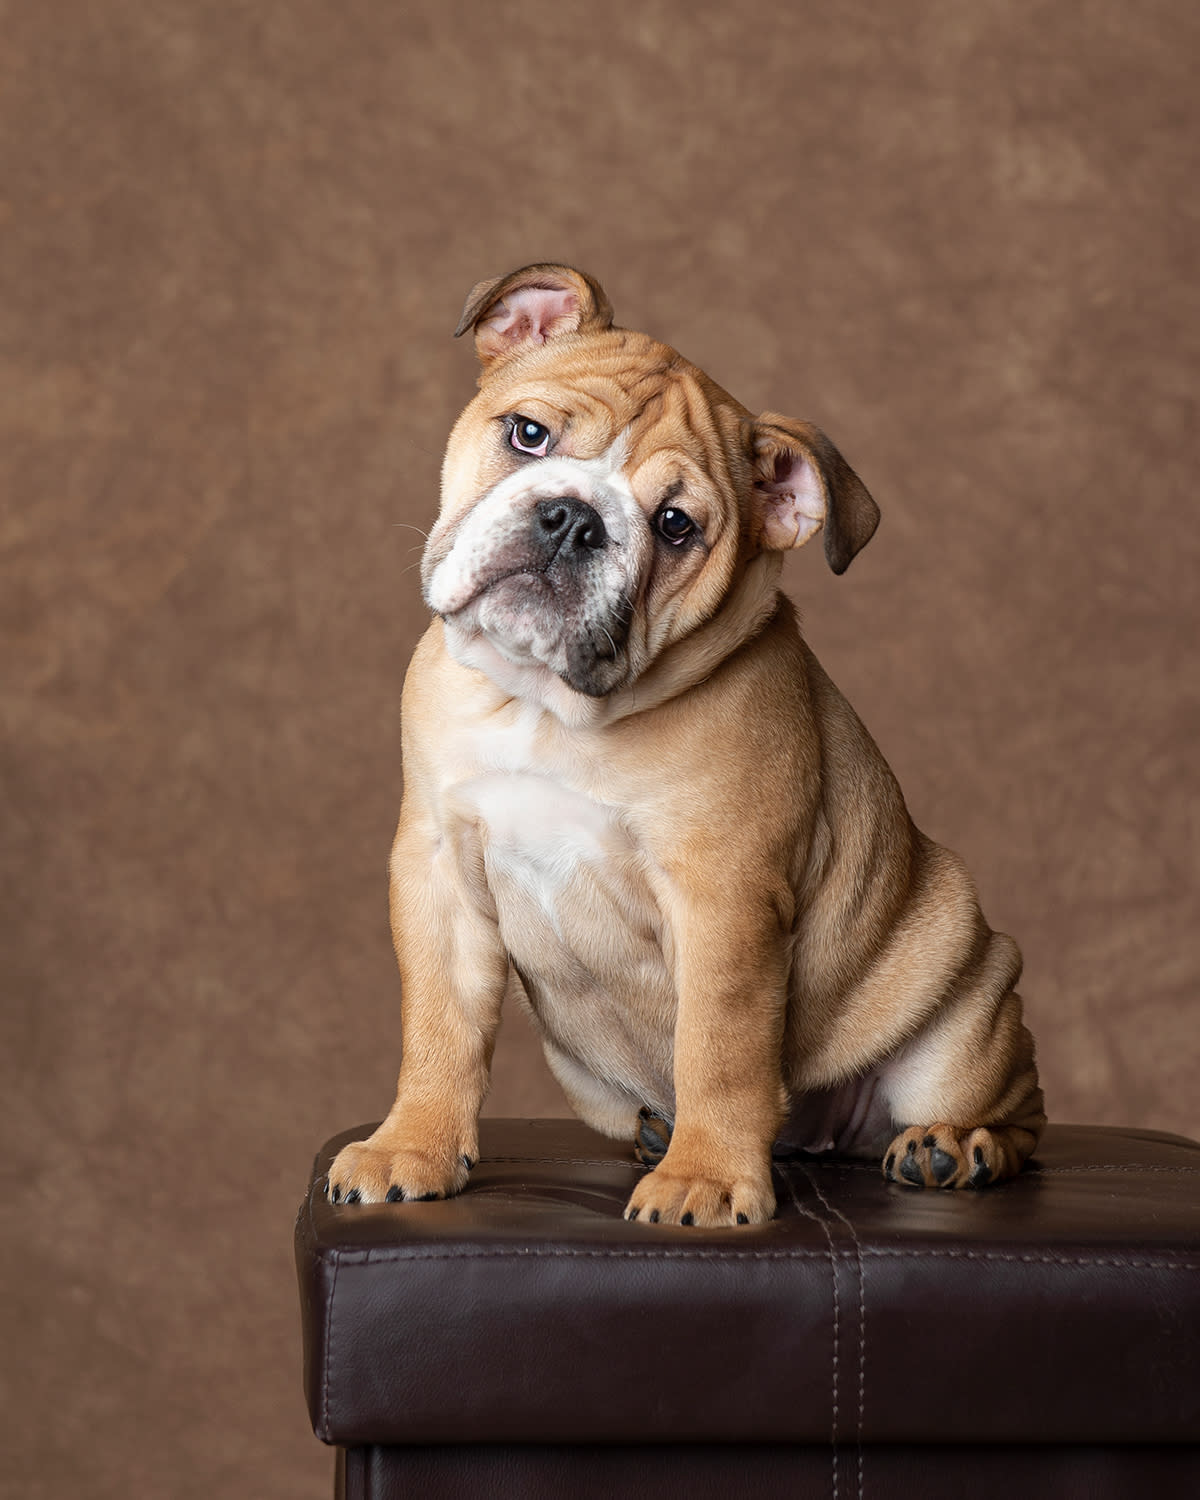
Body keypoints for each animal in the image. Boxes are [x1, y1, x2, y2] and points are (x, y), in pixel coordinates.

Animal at [325, 264, 1038, 1224]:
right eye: (528, 435)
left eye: (675, 526)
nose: (571, 518)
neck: (547, 707)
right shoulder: (437, 870)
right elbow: (441, 1026)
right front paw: (412, 1146)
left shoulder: (725, 900)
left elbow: (719, 1049)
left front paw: (704, 1176)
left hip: (964, 1010)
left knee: (1012, 1107)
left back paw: (955, 1147)